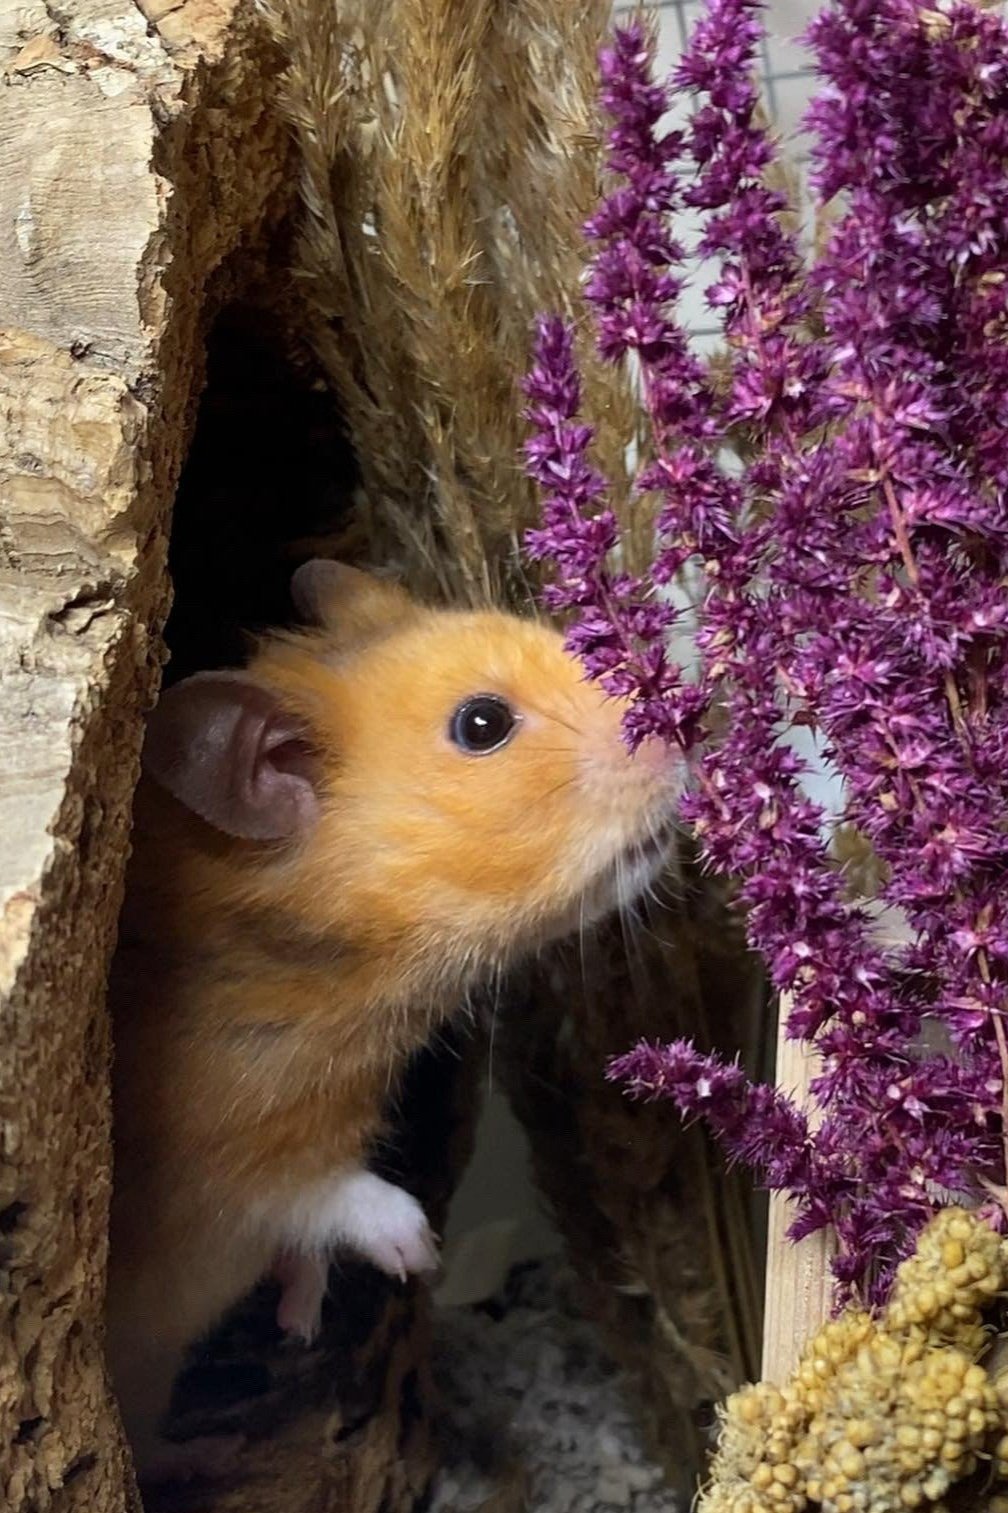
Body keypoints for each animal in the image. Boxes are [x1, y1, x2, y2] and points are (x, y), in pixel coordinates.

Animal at [105, 561, 681, 1483]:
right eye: (482, 724)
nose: (687, 728)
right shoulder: (212, 1162)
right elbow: (320, 1193)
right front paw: (418, 1251)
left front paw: (300, 1320)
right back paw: (215, 1448)